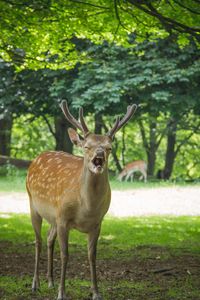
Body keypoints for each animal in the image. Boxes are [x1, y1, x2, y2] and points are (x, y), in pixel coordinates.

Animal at [25, 101, 137, 300]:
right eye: (87, 146)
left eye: (109, 147)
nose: (99, 154)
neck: (87, 208)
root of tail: (36, 158)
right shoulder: (63, 219)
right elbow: (65, 255)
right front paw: (62, 293)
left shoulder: (97, 223)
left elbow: (92, 256)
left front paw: (96, 292)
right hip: (33, 204)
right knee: (38, 241)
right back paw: (35, 284)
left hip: (53, 216)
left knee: (49, 238)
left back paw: (50, 281)